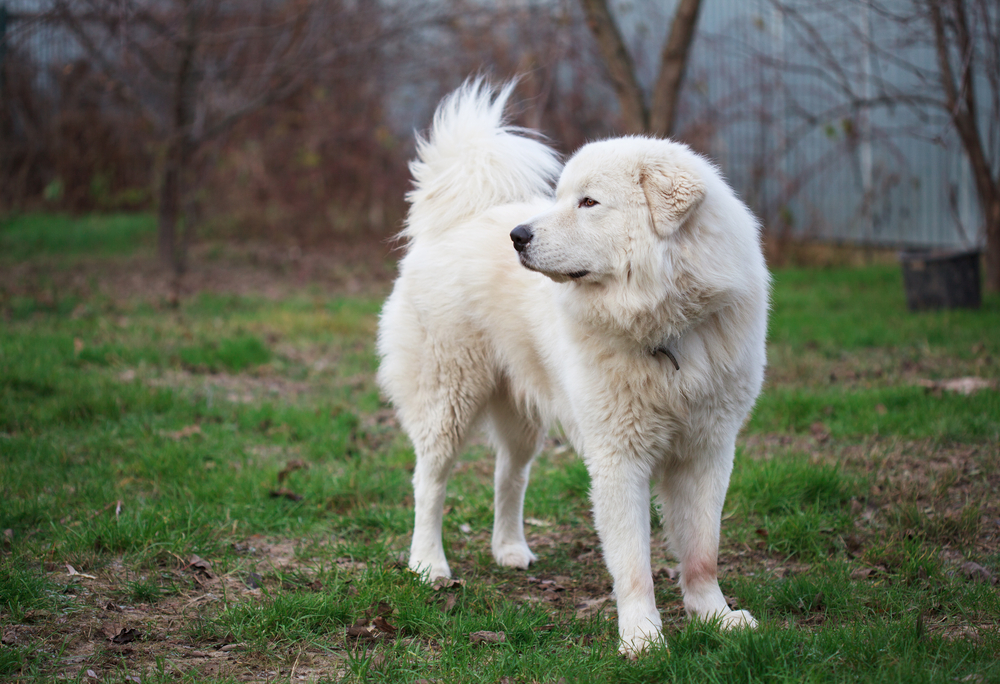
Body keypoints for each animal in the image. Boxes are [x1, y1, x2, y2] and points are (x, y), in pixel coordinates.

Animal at [376, 77, 764, 656]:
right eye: (561, 197)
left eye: (588, 202)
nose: (517, 236)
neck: (666, 327)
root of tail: (458, 220)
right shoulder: (619, 458)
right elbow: (634, 563)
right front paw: (643, 637)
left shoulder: (708, 450)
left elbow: (702, 550)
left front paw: (714, 615)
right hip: (449, 397)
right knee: (430, 482)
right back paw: (428, 564)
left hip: (520, 416)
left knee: (508, 476)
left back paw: (509, 549)